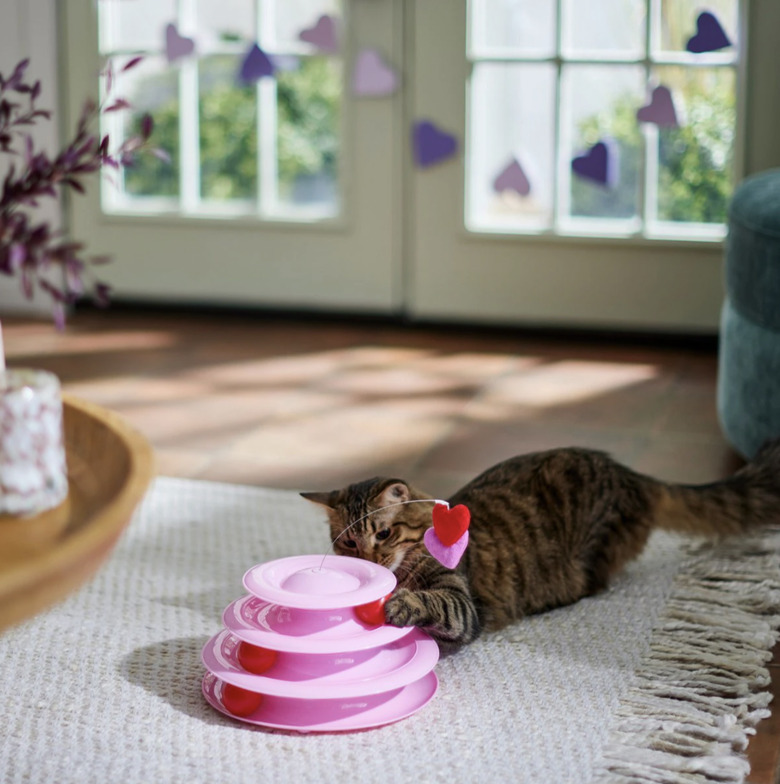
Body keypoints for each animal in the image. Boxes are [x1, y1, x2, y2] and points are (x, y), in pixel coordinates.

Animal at [302, 438, 780, 652]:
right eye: (349, 542)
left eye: (383, 534)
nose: (369, 558)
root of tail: (630, 475)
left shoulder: (464, 604)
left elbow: (432, 601)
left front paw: (401, 603)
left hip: (589, 551)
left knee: (593, 583)